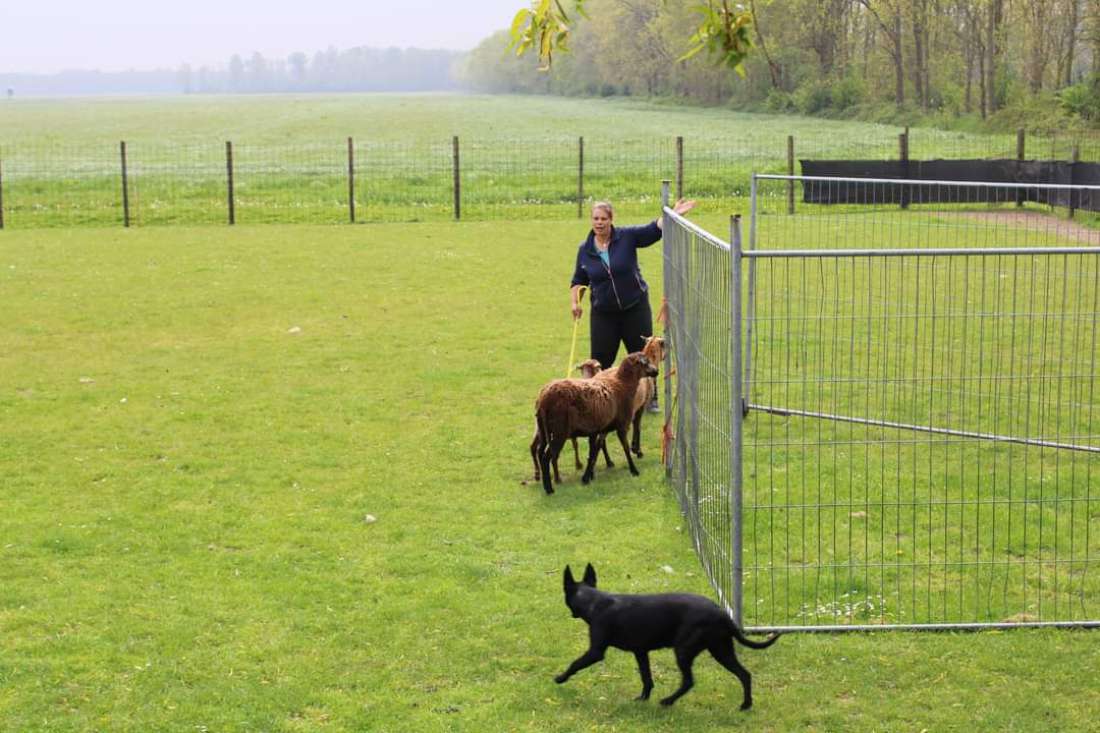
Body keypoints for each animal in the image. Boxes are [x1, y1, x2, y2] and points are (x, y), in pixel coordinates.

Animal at [534, 352, 655, 493]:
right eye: (645, 363)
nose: (657, 371)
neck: (622, 384)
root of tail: (543, 400)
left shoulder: (598, 430)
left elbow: (593, 453)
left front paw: (587, 477)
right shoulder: (621, 426)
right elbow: (625, 448)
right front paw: (634, 470)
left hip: (543, 430)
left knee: (539, 452)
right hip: (559, 431)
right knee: (546, 457)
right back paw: (549, 489)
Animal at [554, 561, 778, 704]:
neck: (594, 601)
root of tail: (721, 613)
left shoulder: (596, 652)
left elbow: (575, 663)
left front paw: (560, 678)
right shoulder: (640, 652)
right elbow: (646, 677)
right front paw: (643, 699)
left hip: (684, 651)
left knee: (689, 681)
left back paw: (668, 701)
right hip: (721, 650)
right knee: (744, 674)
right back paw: (746, 705)